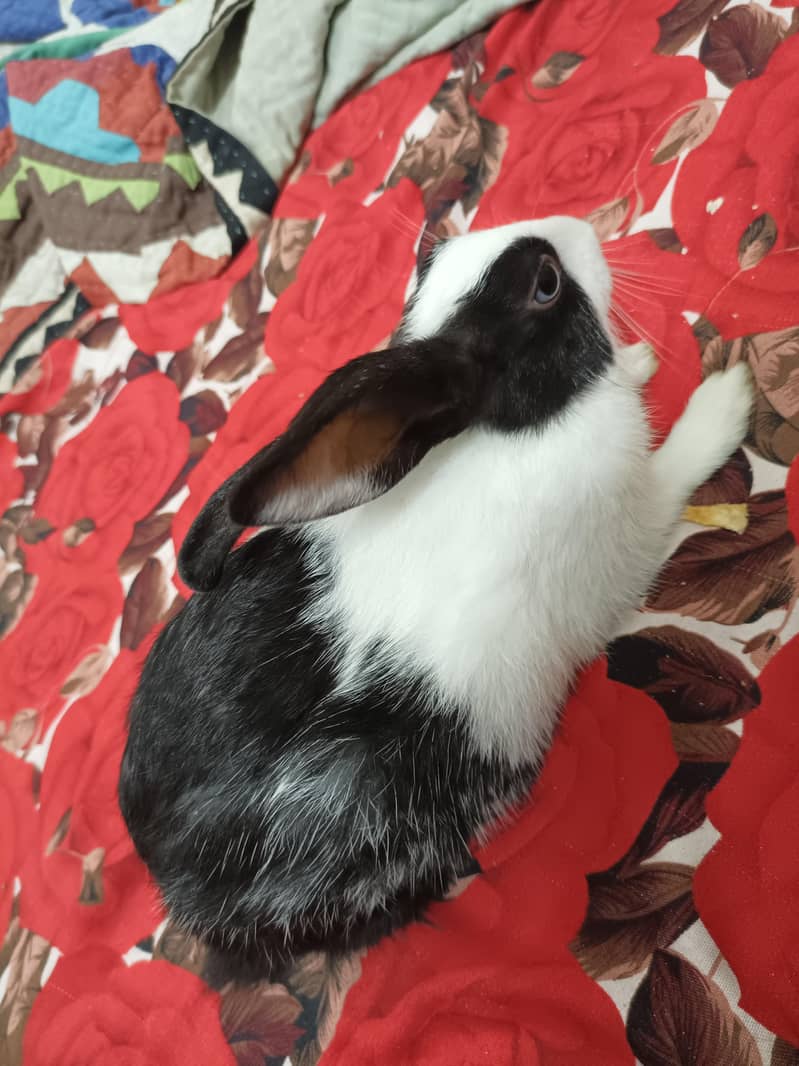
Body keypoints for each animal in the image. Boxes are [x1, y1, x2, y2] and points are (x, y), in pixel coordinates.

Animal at [119, 216, 753, 984]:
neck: (502, 431)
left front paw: (635, 361)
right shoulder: (625, 538)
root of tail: (169, 882)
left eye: (429, 258)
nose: (580, 227)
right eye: (545, 286)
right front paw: (726, 396)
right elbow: (674, 472)